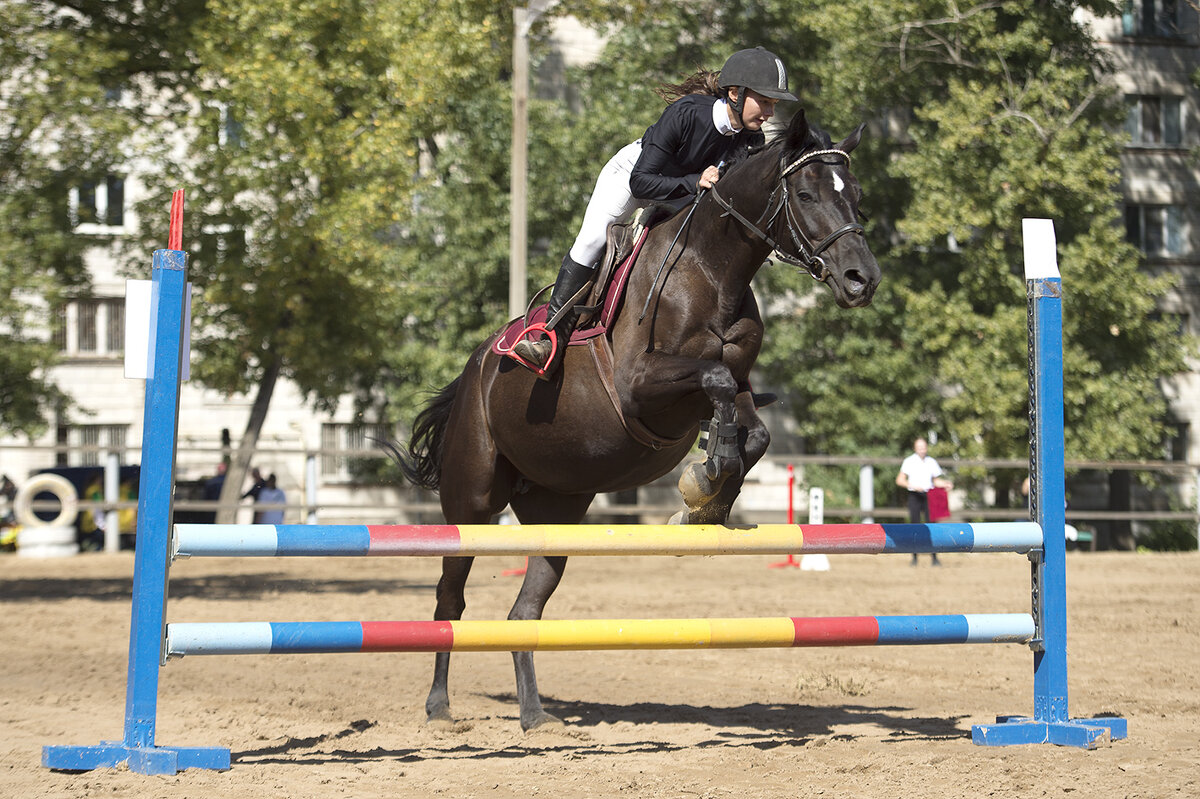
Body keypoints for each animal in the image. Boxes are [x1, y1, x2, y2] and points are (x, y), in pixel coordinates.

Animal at [398, 110, 878, 729]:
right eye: (806, 193)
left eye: (857, 195)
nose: (861, 280)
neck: (712, 272)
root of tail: (475, 368)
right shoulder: (640, 387)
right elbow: (714, 382)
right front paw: (706, 475)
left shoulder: (740, 384)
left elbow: (751, 424)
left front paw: (707, 497)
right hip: (472, 501)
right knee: (449, 598)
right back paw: (438, 706)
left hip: (556, 512)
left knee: (524, 610)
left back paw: (535, 716)